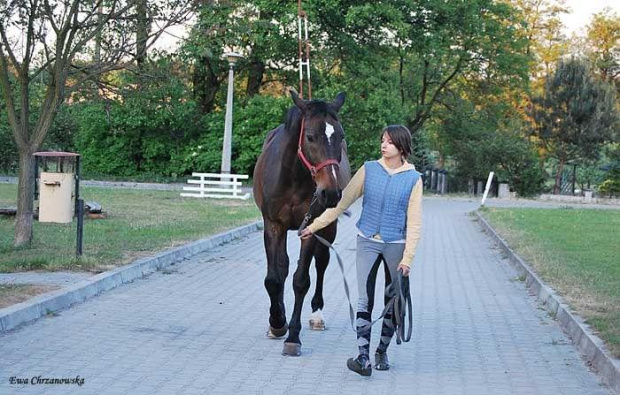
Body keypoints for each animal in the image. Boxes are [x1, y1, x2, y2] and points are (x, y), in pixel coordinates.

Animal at [252, 90, 348, 358]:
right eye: (310, 136)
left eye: (340, 136)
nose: (331, 192)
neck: (293, 177)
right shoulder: (273, 225)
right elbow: (274, 278)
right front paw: (277, 323)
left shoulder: (311, 227)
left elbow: (301, 280)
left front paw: (293, 336)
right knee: (283, 268)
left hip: (328, 227)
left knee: (322, 263)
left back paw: (317, 315)